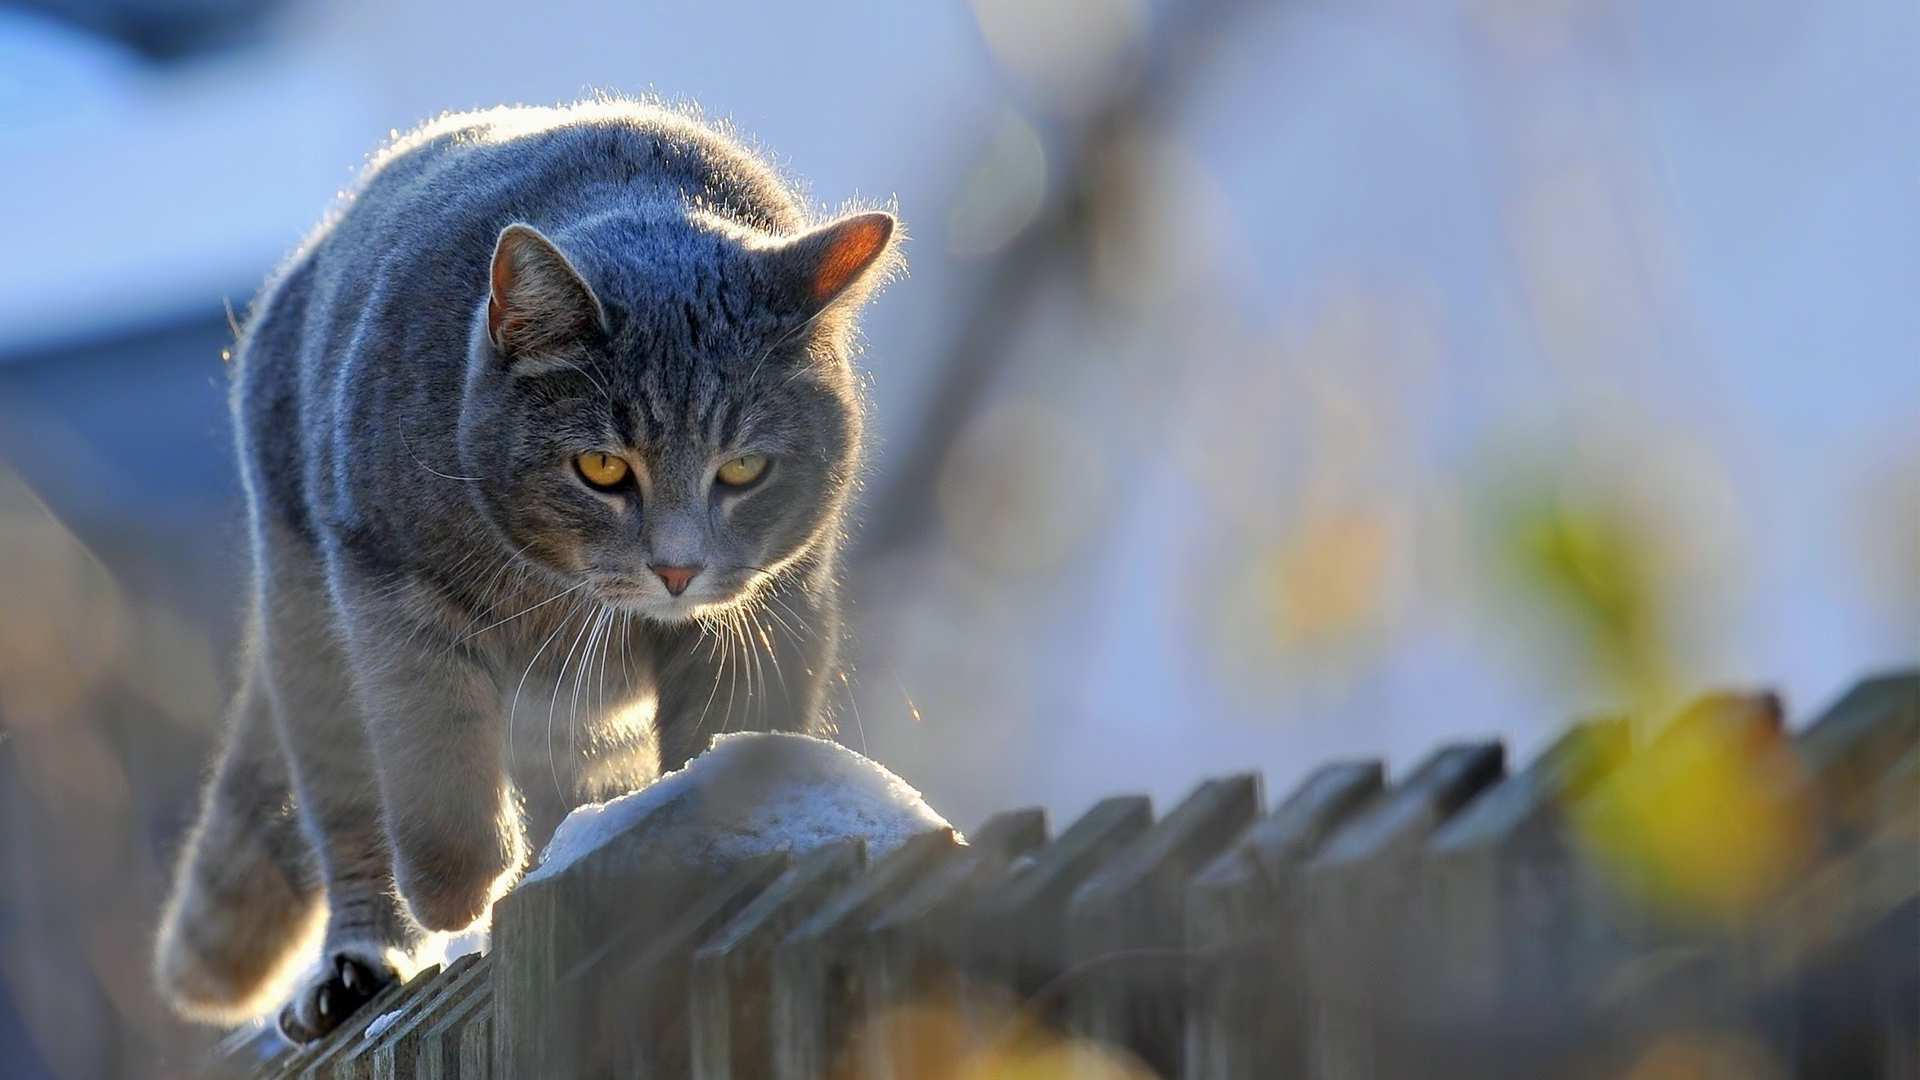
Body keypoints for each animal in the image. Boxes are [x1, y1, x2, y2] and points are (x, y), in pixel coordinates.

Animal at [151, 98, 898, 1037]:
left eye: (743, 470)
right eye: (603, 468)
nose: (678, 569)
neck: (561, 595)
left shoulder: (771, 613)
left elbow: (724, 737)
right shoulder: (389, 588)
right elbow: (434, 759)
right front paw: (457, 890)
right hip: (307, 631)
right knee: (350, 813)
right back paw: (360, 965)